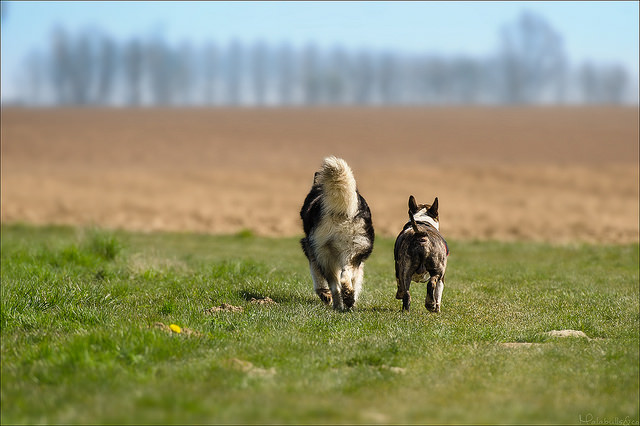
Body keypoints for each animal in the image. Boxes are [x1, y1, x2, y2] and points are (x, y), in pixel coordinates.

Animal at [300, 156, 376, 310]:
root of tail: (341, 212)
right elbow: (355, 280)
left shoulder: (312, 251)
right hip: (349, 251)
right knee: (344, 278)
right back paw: (347, 300)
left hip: (328, 255)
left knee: (337, 284)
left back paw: (340, 303)